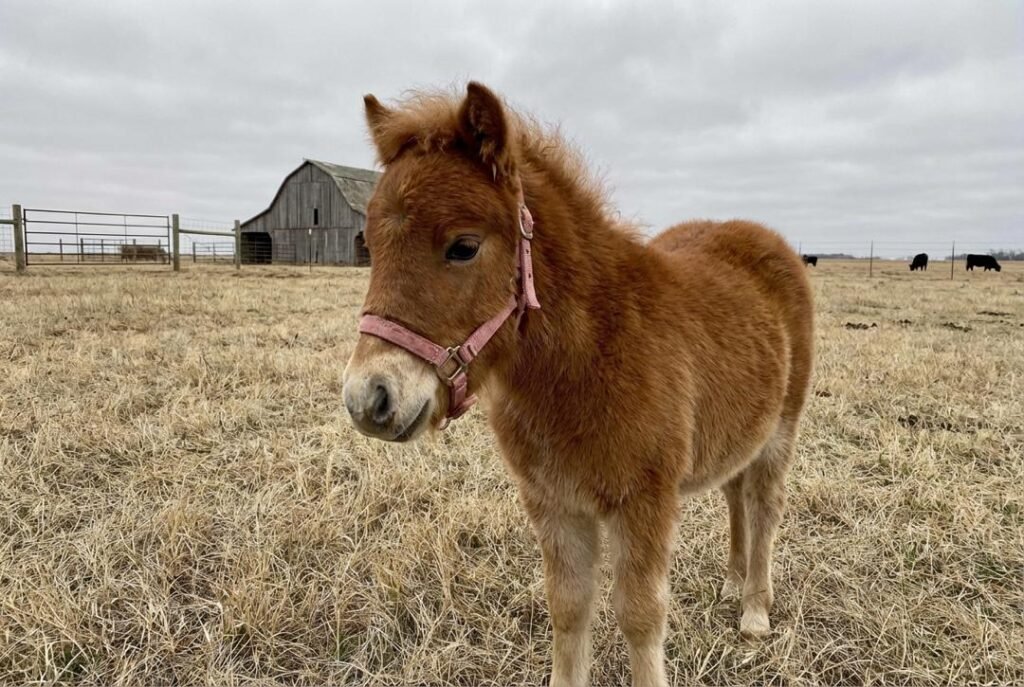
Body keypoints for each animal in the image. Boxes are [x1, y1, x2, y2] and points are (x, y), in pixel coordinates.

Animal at [342, 83, 815, 687]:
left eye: (464, 246)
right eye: (369, 245)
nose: (368, 399)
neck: (589, 358)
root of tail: (763, 236)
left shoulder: (643, 503)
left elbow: (640, 615)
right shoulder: (554, 503)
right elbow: (568, 609)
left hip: (781, 430)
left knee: (764, 504)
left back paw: (754, 609)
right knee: (735, 490)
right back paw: (732, 584)